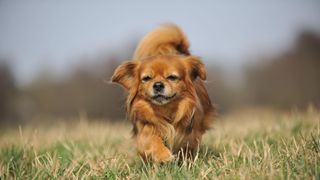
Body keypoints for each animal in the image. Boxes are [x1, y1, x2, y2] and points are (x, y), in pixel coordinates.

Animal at [111, 23, 214, 162]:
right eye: (147, 78)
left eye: (172, 77)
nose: (158, 85)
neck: (166, 110)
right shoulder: (145, 130)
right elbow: (152, 140)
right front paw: (163, 155)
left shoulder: (190, 134)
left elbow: (186, 146)